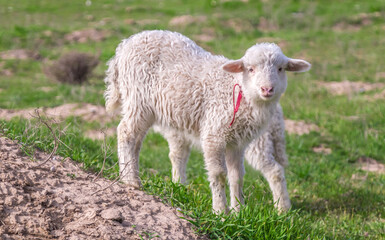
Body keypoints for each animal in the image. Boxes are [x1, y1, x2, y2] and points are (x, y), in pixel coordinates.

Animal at [104, 29, 308, 212]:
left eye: (280, 69)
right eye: (250, 69)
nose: (267, 89)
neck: (238, 90)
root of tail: (125, 45)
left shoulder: (237, 142)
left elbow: (237, 176)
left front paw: (238, 211)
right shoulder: (213, 134)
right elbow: (218, 174)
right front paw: (221, 212)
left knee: (136, 141)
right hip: (138, 98)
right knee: (126, 132)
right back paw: (130, 180)